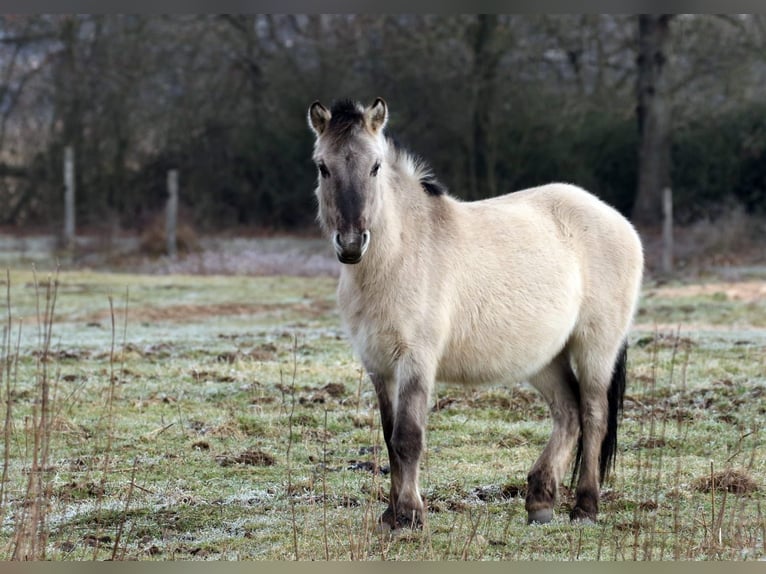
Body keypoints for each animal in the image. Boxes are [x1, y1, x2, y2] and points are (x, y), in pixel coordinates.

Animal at [308, 98, 644, 532]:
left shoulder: (416, 361)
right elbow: (388, 437)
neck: (399, 255)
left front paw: (411, 516)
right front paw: (391, 515)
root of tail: (615, 219)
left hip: (595, 348)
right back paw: (540, 502)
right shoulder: (379, 366)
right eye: (323, 166)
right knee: (568, 414)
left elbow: (408, 438)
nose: (351, 244)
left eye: (375, 166)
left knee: (594, 415)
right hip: (543, 357)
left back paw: (585, 507)